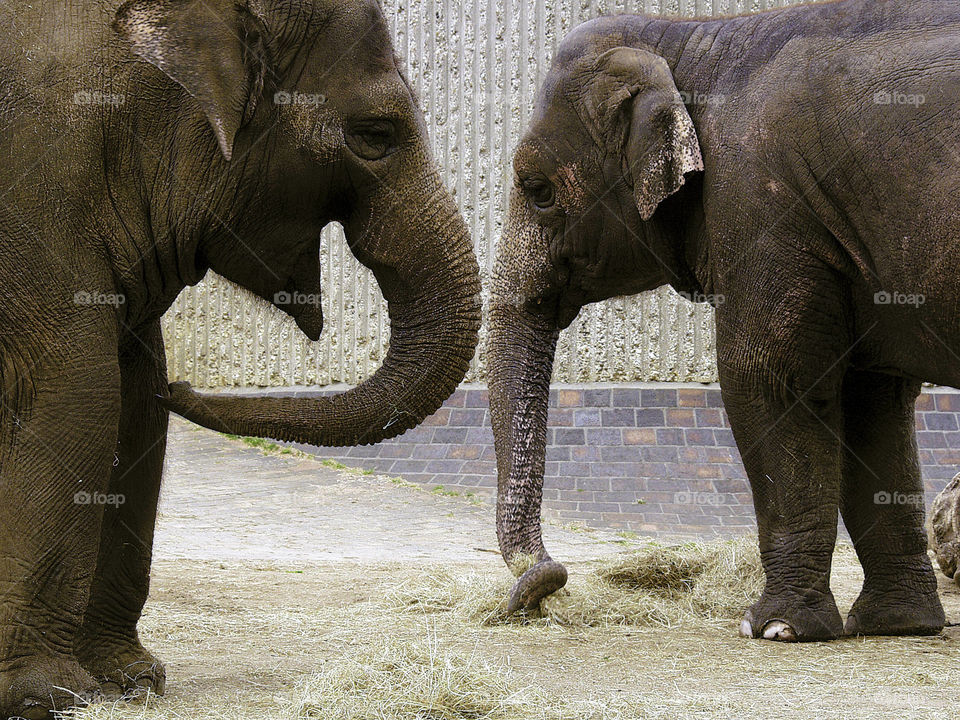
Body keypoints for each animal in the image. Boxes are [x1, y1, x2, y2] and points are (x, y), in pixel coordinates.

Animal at [0, 0, 480, 716]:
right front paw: (46, 696)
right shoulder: (38, 189)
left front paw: (132, 682)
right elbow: (76, 395)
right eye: (375, 134)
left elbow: (136, 406)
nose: (185, 385)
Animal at [488, 0, 959, 644]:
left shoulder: (764, 206)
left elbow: (767, 377)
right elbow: (871, 398)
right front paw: (897, 625)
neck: (691, 36)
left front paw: (775, 628)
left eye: (538, 192)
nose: (537, 591)